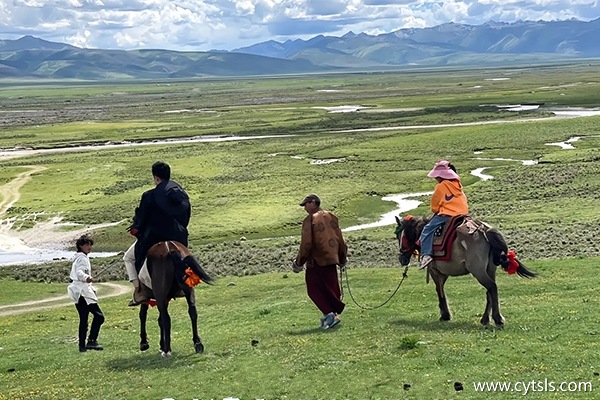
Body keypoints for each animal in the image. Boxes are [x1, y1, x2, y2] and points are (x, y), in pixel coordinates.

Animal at [396, 214, 536, 326]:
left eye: (398, 236)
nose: (402, 259)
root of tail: (483, 230)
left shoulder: (435, 271)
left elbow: (439, 291)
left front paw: (445, 315)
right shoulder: (443, 273)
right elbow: (441, 290)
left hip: (478, 271)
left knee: (492, 287)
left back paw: (497, 319)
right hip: (490, 269)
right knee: (490, 291)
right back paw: (485, 319)